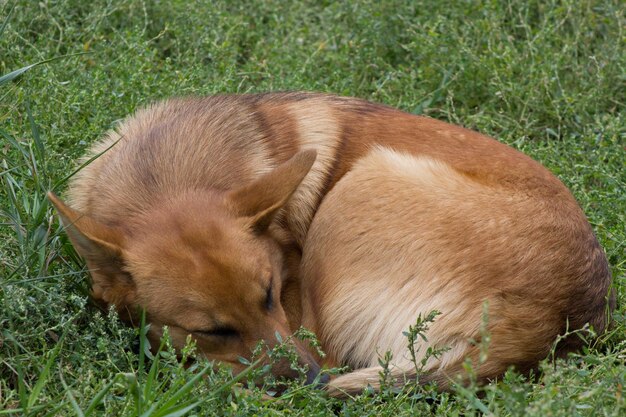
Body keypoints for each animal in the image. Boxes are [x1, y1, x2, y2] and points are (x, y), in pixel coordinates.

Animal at [50, 92, 616, 394]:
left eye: (270, 295)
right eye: (213, 330)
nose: (312, 384)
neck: (159, 173)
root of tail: (547, 320)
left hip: (359, 185)